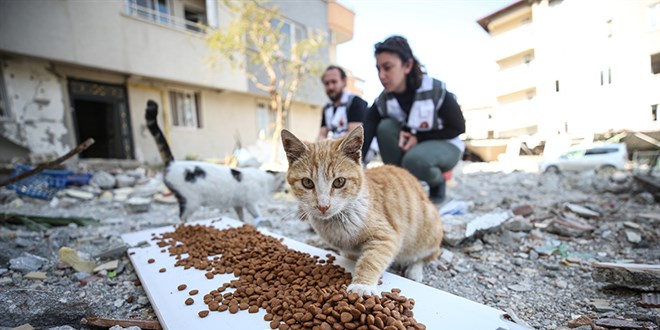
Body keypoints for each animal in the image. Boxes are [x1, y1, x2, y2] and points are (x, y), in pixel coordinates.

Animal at [280, 125, 444, 296]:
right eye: (307, 183)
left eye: (339, 182)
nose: (323, 206)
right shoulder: (349, 250)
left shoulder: (387, 236)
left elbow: (371, 260)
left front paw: (361, 285)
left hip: (428, 231)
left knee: (428, 256)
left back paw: (415, 271)